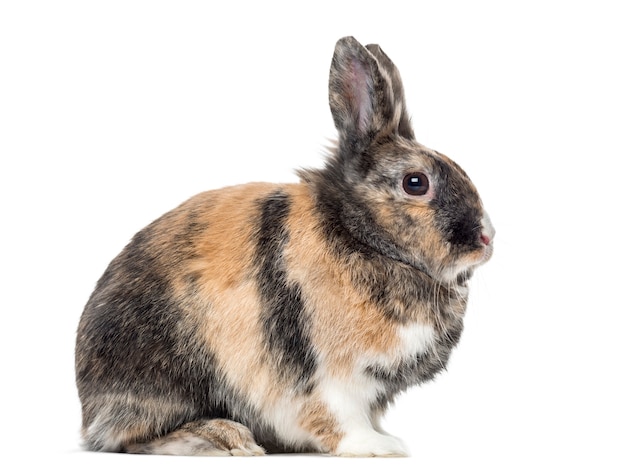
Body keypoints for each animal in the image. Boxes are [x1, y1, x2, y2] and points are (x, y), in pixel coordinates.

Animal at [74, 35, 492, 456]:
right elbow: (339, 418)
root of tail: (88, 409)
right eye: (415, 183)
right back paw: (226, 438)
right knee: (135, 438)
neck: (360, 236)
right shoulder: (330, 377)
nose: (486, 239)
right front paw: (379, 447)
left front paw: (388, 438)